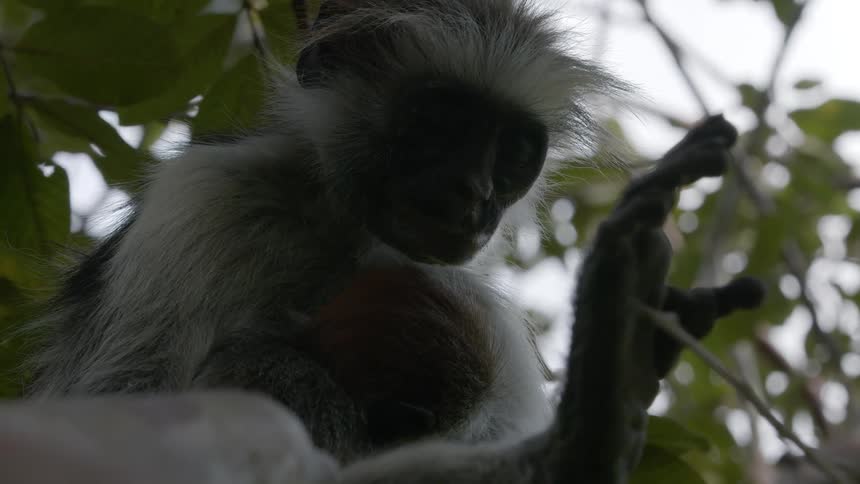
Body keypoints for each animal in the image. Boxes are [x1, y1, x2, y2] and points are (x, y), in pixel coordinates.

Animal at [23, 0, 762, 471]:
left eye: (515, 150)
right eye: (439, 123)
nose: (475, 195)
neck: (345, 228)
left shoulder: (468, 296)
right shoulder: (207, 196)